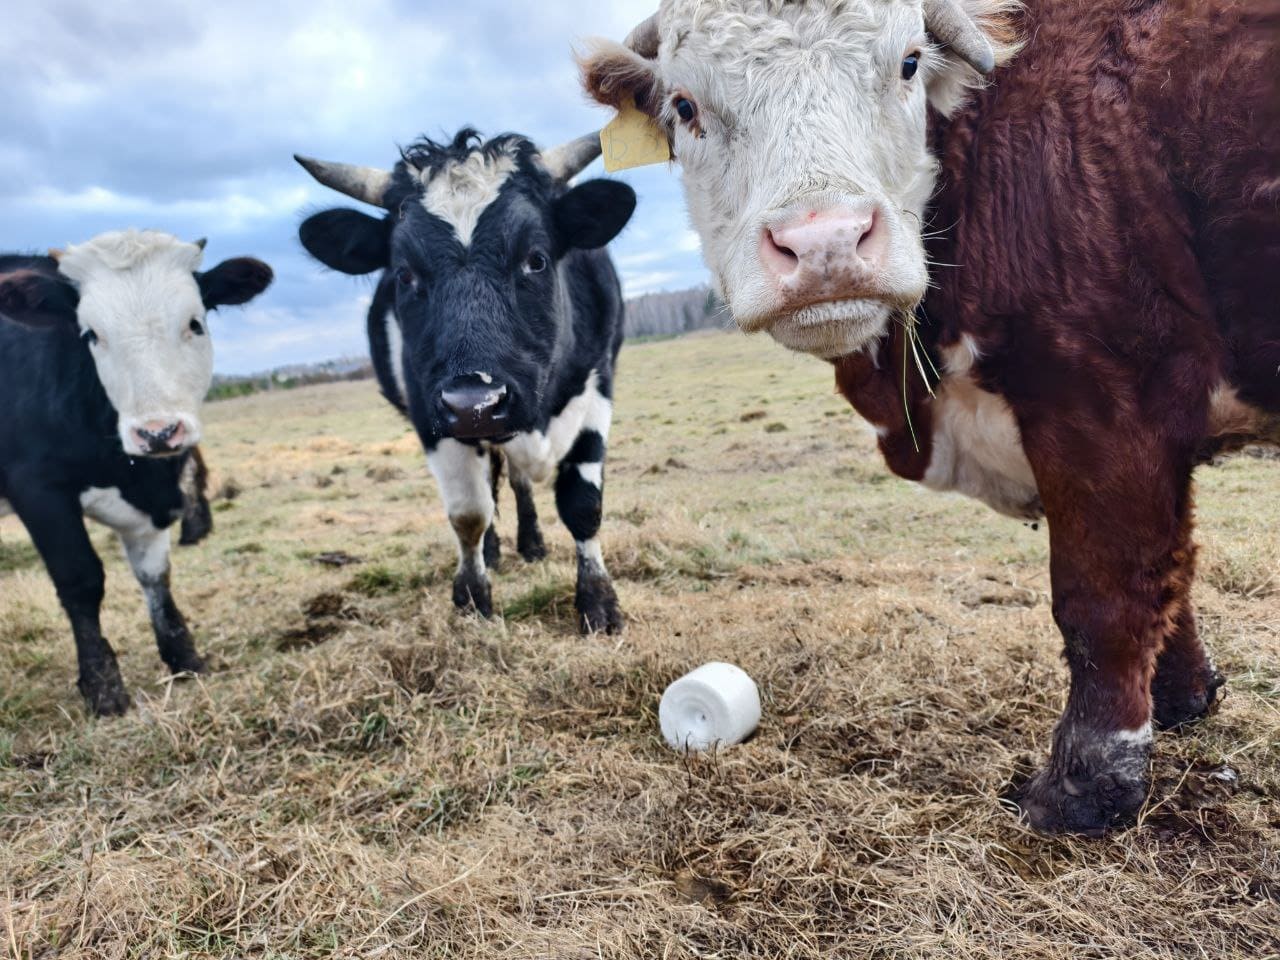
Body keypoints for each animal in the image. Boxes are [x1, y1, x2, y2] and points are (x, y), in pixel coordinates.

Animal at [0, 231, 273, 715]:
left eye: (195, 323)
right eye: (91, 334)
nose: (158, 432)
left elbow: (155, 576)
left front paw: (184, 657)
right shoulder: (37, 488)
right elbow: (81, 579)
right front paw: (103, 687)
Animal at [294, 130, 636, 634]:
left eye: (536, 259)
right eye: (404, 273)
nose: (476, 401)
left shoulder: (597, 386)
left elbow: (582, 503)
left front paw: (599, 602)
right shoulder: (433, 415)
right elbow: (469, 513)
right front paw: (473, 599)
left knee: (517, 481)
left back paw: (531, 544)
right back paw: (494, 551)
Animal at [580, 0, 1280, 835]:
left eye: (908, 62)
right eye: (684, 105)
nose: (824, 244)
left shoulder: (1101, 400)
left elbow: (1103, 596)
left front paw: (1084, 785)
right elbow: (1172, 572)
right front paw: (1180, 699)